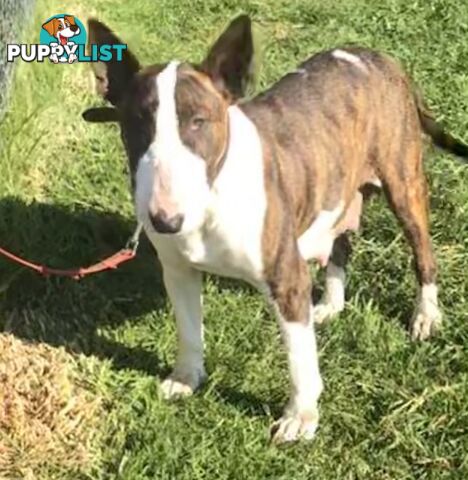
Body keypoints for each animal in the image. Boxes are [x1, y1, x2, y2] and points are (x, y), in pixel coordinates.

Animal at [82, 15, 468, 442]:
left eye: (199, 121)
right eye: (136, 122)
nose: (165, 220)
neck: (213, 198)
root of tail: (379, 57)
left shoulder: (287, 279)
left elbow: (300, 359)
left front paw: (300, 416)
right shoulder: (178, 271)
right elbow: (188, 329)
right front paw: (186, 377)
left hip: (404, 182)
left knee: (422, 252)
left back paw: (426, 314)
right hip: (338, 187)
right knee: (341, 243)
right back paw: (331, 303)